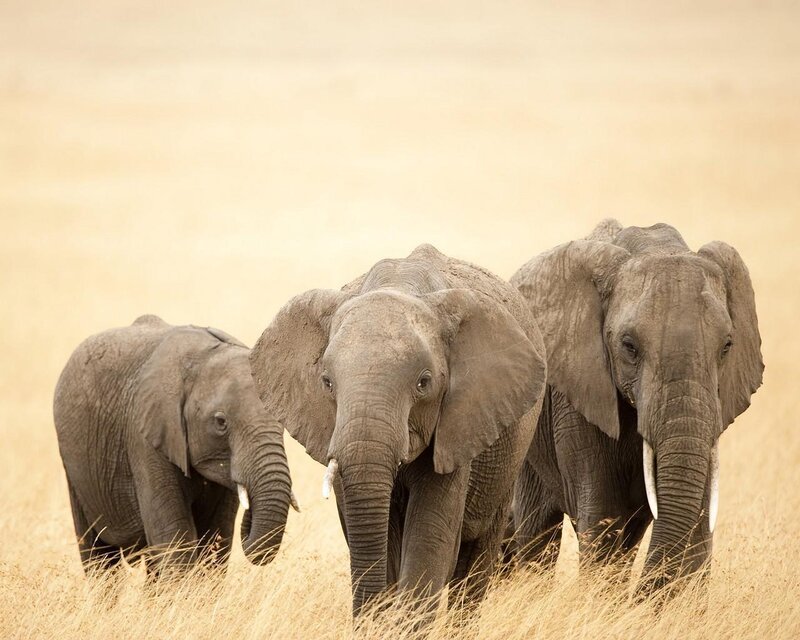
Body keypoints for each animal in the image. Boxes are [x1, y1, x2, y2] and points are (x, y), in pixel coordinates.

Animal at [54, 314, 296, 576]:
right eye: (221, 422)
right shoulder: (145, 435)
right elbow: (173, 538)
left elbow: (216, 538)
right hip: (74, 469)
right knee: (98, 556)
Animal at [509, 219, 763, 595]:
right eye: (629, 346)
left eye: (727, 346)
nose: (638, 597)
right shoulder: (579, 397)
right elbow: (603, 514)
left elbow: (698, 511)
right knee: (535, 529)